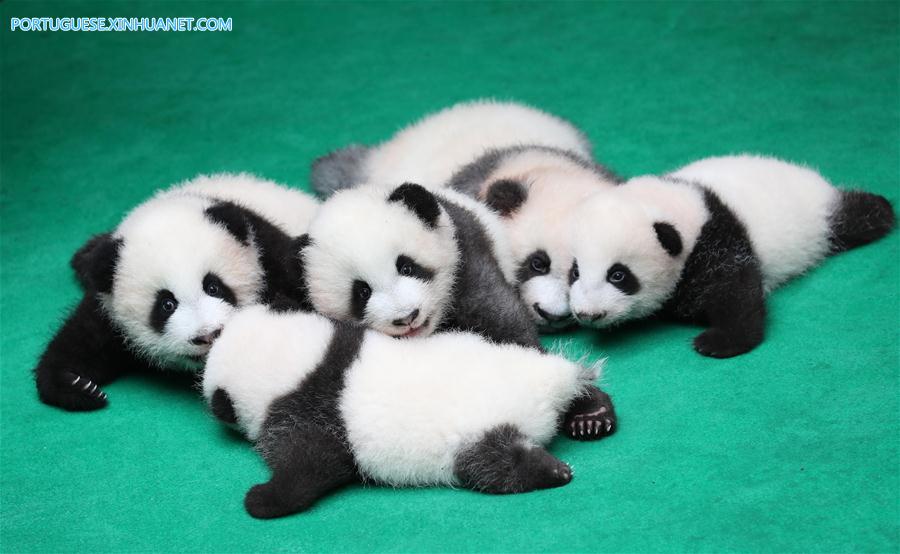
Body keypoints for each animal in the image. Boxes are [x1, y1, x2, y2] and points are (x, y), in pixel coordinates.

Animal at [34, 173, 319, 411]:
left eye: (214, 287)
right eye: (166, 304)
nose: (207, 335)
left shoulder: (267, 253)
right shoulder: (107, 301)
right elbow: (82, 340)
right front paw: (78, 385)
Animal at [202, 305, 600, 519]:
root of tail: (548, 386)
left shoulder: (309, 413)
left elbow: (310, 465)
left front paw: (261, 499)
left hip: (477, 433)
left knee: (496, 467)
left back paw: (552, 470)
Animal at [300, 181, 617, 440]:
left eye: (406, 266)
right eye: (362, 292)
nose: (406, 317)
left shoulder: (465, 258)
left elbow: (504, 321)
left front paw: (585, 407)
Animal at [567, 155, 896, 358]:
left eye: (618, 275)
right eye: (575, 272)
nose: (587, 314)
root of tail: (813, 179)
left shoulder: (715, 240)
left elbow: (736, 289)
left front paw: (719, 341)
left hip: (821, 219)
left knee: (857, 215)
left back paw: (880, 210)